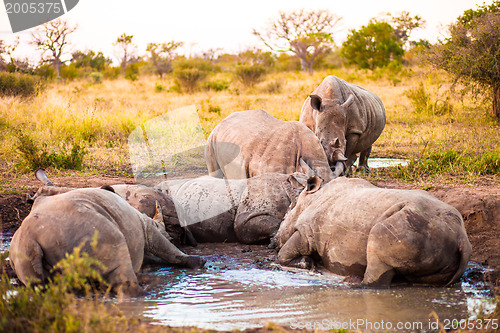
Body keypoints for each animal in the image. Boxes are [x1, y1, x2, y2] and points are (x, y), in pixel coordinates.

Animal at [9, 187, 205, 296]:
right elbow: (167, 248)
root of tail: (31, 240)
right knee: (118, 253)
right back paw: (146, 293)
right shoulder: (147, 228)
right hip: (86, 231)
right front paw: (198, 262)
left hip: (23, 251)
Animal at [274, 175, 472, 286]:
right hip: (434, 231)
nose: (272, 241)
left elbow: (284, 254)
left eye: (284, 216)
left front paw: (306, 263)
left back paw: (352, 283)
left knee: (377, 249)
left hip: (410, 224)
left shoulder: (306, 233)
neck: (309, 199)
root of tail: (460, 237)